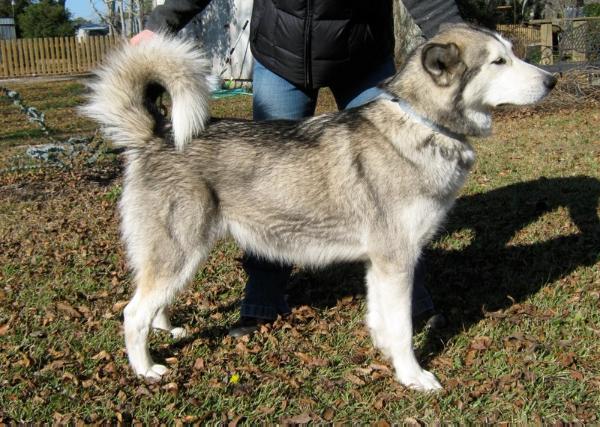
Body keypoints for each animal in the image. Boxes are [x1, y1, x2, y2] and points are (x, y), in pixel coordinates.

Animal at [82, 23, 556, 392]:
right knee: (132, 313)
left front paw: (384, 352)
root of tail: (155, 134)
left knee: (152, 302)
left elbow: (383, 320)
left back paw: (167, 327)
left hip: (180, 256)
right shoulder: (397, 259)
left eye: (512, 54)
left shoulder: (381, 264)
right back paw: (146, 369)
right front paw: (412, 376)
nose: (552, 80)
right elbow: (403, 329)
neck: (422, 124)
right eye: (498, 62)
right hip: (181, 251)